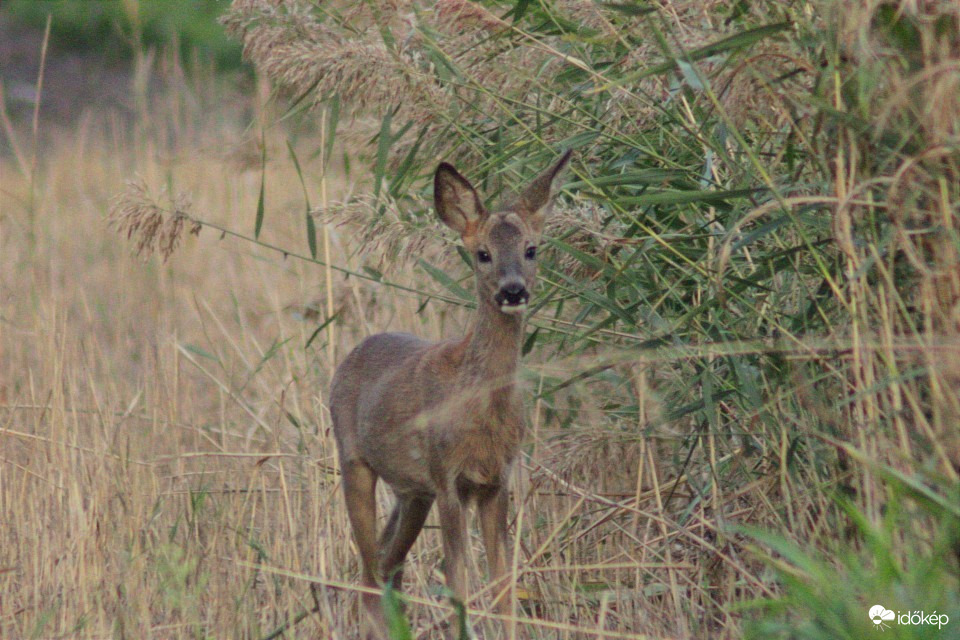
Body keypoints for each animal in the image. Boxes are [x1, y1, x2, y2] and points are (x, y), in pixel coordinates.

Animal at [330, 150, 568, 636]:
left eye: (532, 249)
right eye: (482, 253)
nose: (513, 291)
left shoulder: (496, 480)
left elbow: (503, 587)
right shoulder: (448, 478)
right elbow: (459, 585)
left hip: (411, 492)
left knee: (387, 565)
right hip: (355, 461)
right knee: (367, 572)